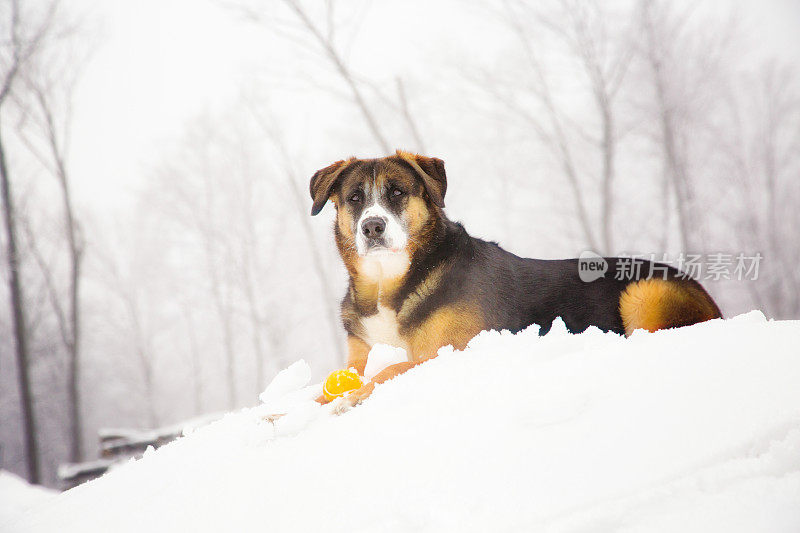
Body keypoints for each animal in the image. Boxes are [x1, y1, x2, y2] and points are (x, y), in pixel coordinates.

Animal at [310, 152, 720, 406]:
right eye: (355, 198)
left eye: (397, 191)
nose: (372, 227)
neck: (390, 283)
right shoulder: (359, 356)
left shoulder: (453, 351)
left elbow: (392, 368)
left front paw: (353, 399)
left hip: (644, 291)